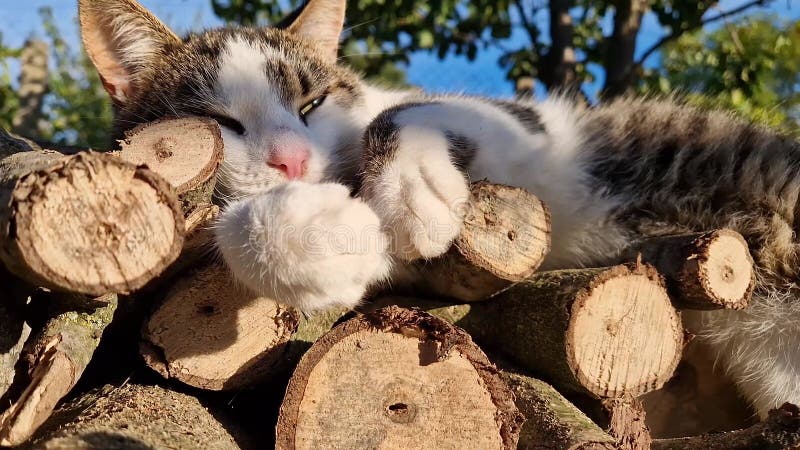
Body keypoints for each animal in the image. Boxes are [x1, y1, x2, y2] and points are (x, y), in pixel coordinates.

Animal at [79, 0, 800, 418]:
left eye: (313, 103)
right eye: (222, 122)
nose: (292, 160)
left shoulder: (526, 132)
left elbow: (407, 113)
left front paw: (411, 188)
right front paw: (313, 240)